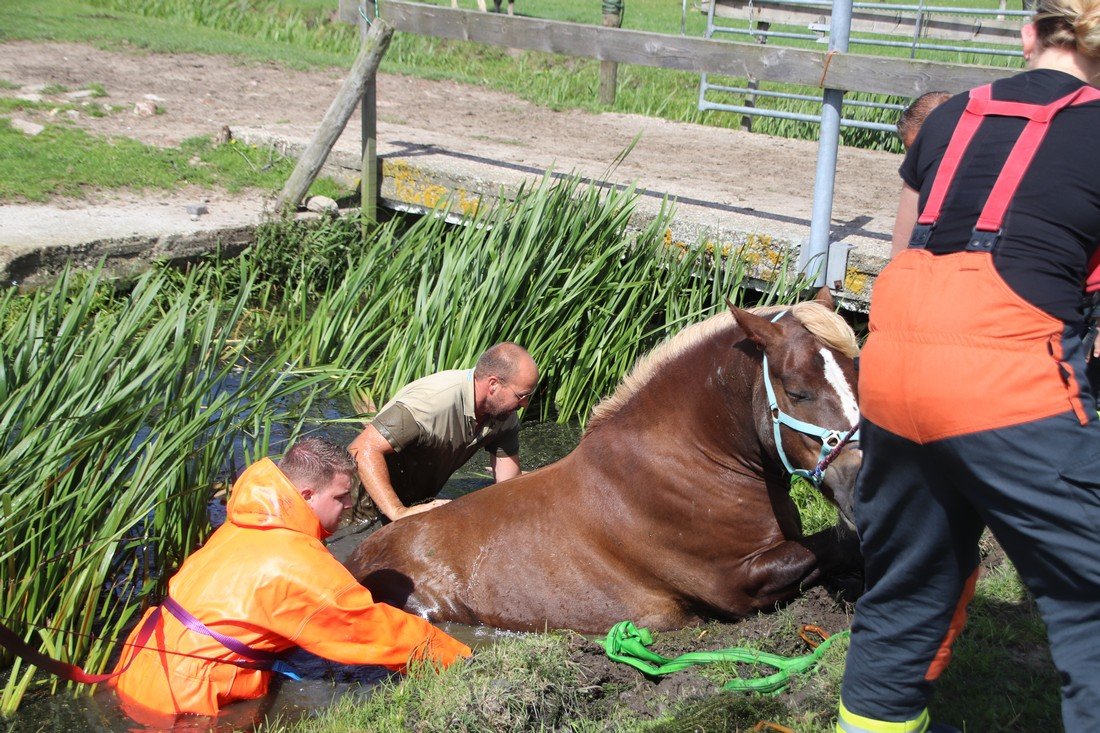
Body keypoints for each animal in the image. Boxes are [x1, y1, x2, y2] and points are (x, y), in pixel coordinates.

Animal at [347, 288, 862, 629]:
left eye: (857, 374)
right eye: (797, 390)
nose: (859, 484)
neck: (689, 462)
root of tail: (359, 559)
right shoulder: (738, 584)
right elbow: (832, 547)